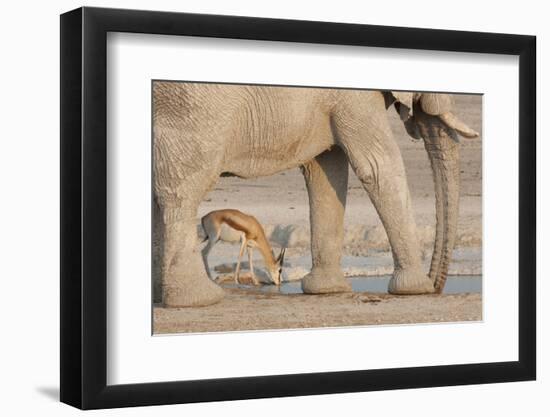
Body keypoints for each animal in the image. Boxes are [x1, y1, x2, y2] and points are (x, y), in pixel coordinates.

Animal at [153, 82, 480, 306]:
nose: (437, 286)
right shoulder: (355, 98)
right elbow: (378, 166)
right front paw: (415, 289)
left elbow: (326, 170)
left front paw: (327, 290)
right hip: (192, 110)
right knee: (184, 187)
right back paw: (200, 298)